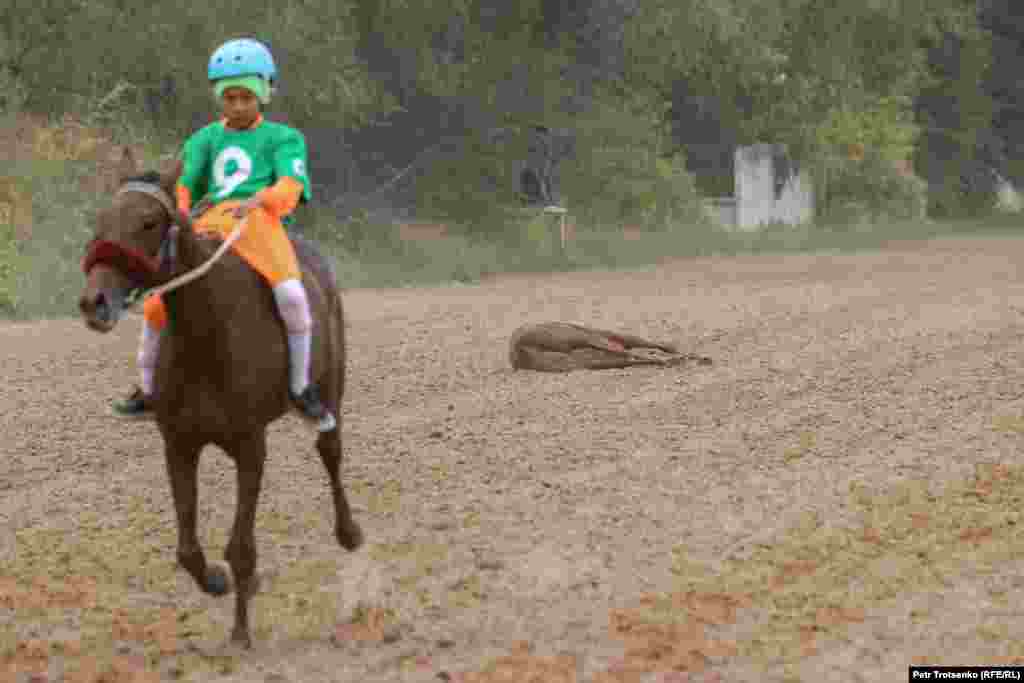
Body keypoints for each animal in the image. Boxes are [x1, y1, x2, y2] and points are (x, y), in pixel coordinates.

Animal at [77, 148, 364, 647]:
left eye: (149, 222)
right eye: (103, 218)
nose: (95, 302)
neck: (206, 335)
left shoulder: (250, 447)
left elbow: (241, 546)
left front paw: (241, 631)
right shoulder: (179, 444)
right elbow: (187, 549)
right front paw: (215, 580)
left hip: (332, 387)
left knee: (330, 451)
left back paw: (348, 531)